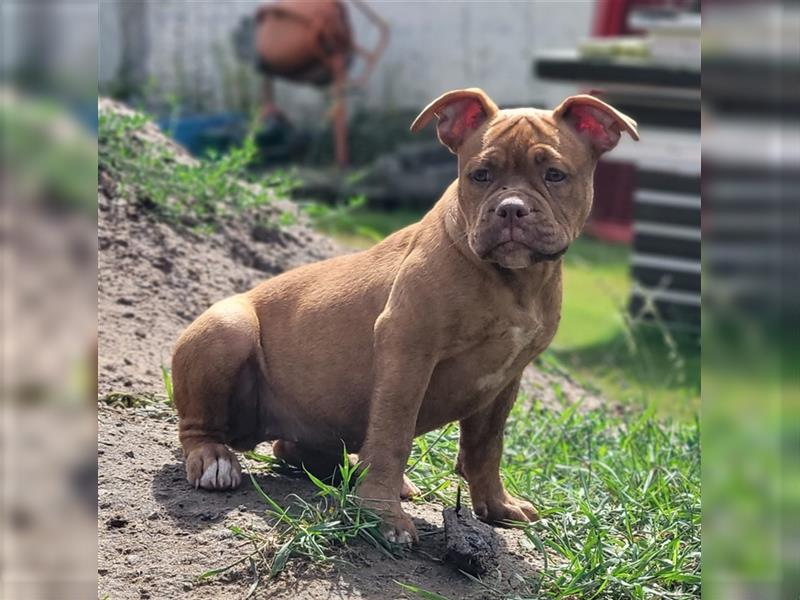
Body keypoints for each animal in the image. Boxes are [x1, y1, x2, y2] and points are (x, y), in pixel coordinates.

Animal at [170, 89, 636, 544]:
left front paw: (496, 506)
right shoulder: (407, 348)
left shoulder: (506, 378)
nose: (510, 209)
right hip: (228, 329)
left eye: (555, 175)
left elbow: (487, 446)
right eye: (480, 175)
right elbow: (393, 435)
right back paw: (214, 459)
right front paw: (382, 515)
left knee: (294, 450)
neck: (513, 281)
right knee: (197, 426)